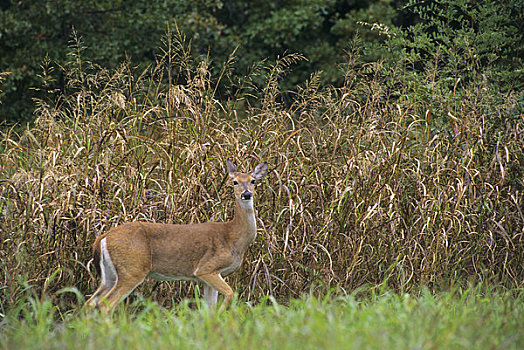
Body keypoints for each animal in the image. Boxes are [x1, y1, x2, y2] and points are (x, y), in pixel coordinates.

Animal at [86, 159, 268, 312]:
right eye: (234, 181)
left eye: (253, 181)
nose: (246, 194)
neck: (233, 236)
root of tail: (102, 238)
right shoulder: (206, 268)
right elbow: (230, 294)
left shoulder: (211, 276)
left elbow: (209, 309)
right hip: (132, 269)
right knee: (105, 304)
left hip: (110, 275)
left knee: (91, 301)